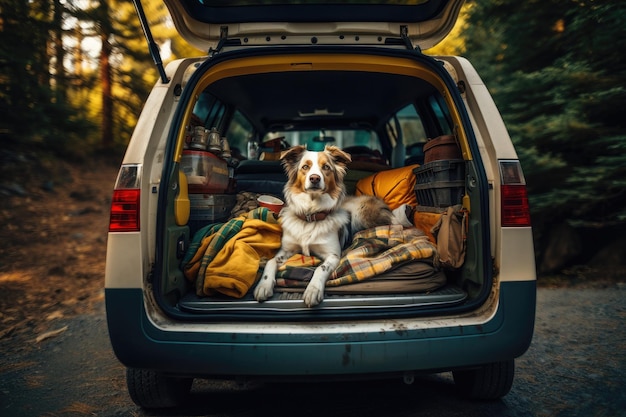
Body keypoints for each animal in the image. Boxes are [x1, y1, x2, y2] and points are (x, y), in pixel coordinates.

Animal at [255, 145, 398, 306]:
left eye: (326, 167)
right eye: (305, 167)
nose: (315, 178)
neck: (310, 216)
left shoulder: (333, 255)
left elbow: (321, 268)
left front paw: (313, 290)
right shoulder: (286, 250)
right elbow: (271, 261)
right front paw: (263, 285)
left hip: (362, 214)